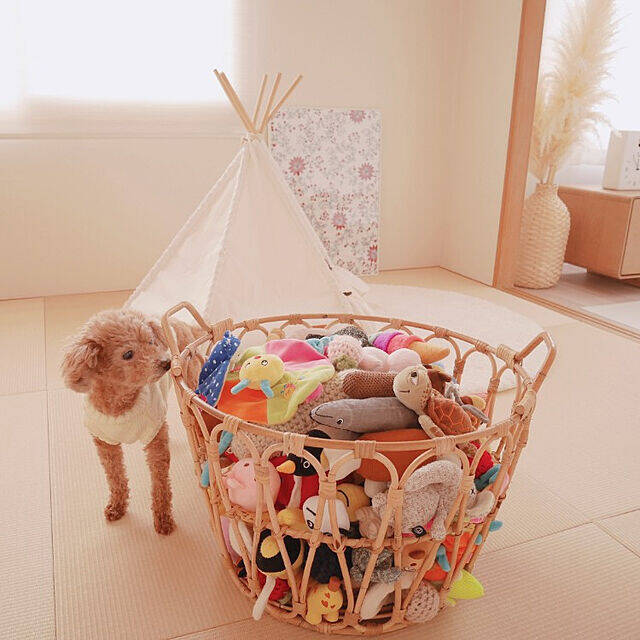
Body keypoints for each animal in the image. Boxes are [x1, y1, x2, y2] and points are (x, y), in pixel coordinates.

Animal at [61, 308, 204, 535]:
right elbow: (115, 476)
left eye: (152, 342)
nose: (166, 363)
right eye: (128, 354)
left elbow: (160, 483)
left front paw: (163, 519)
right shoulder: (105, 443)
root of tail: (182, 323)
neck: (121, 403)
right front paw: (116, 507)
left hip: (191, 379)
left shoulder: (154, 436)